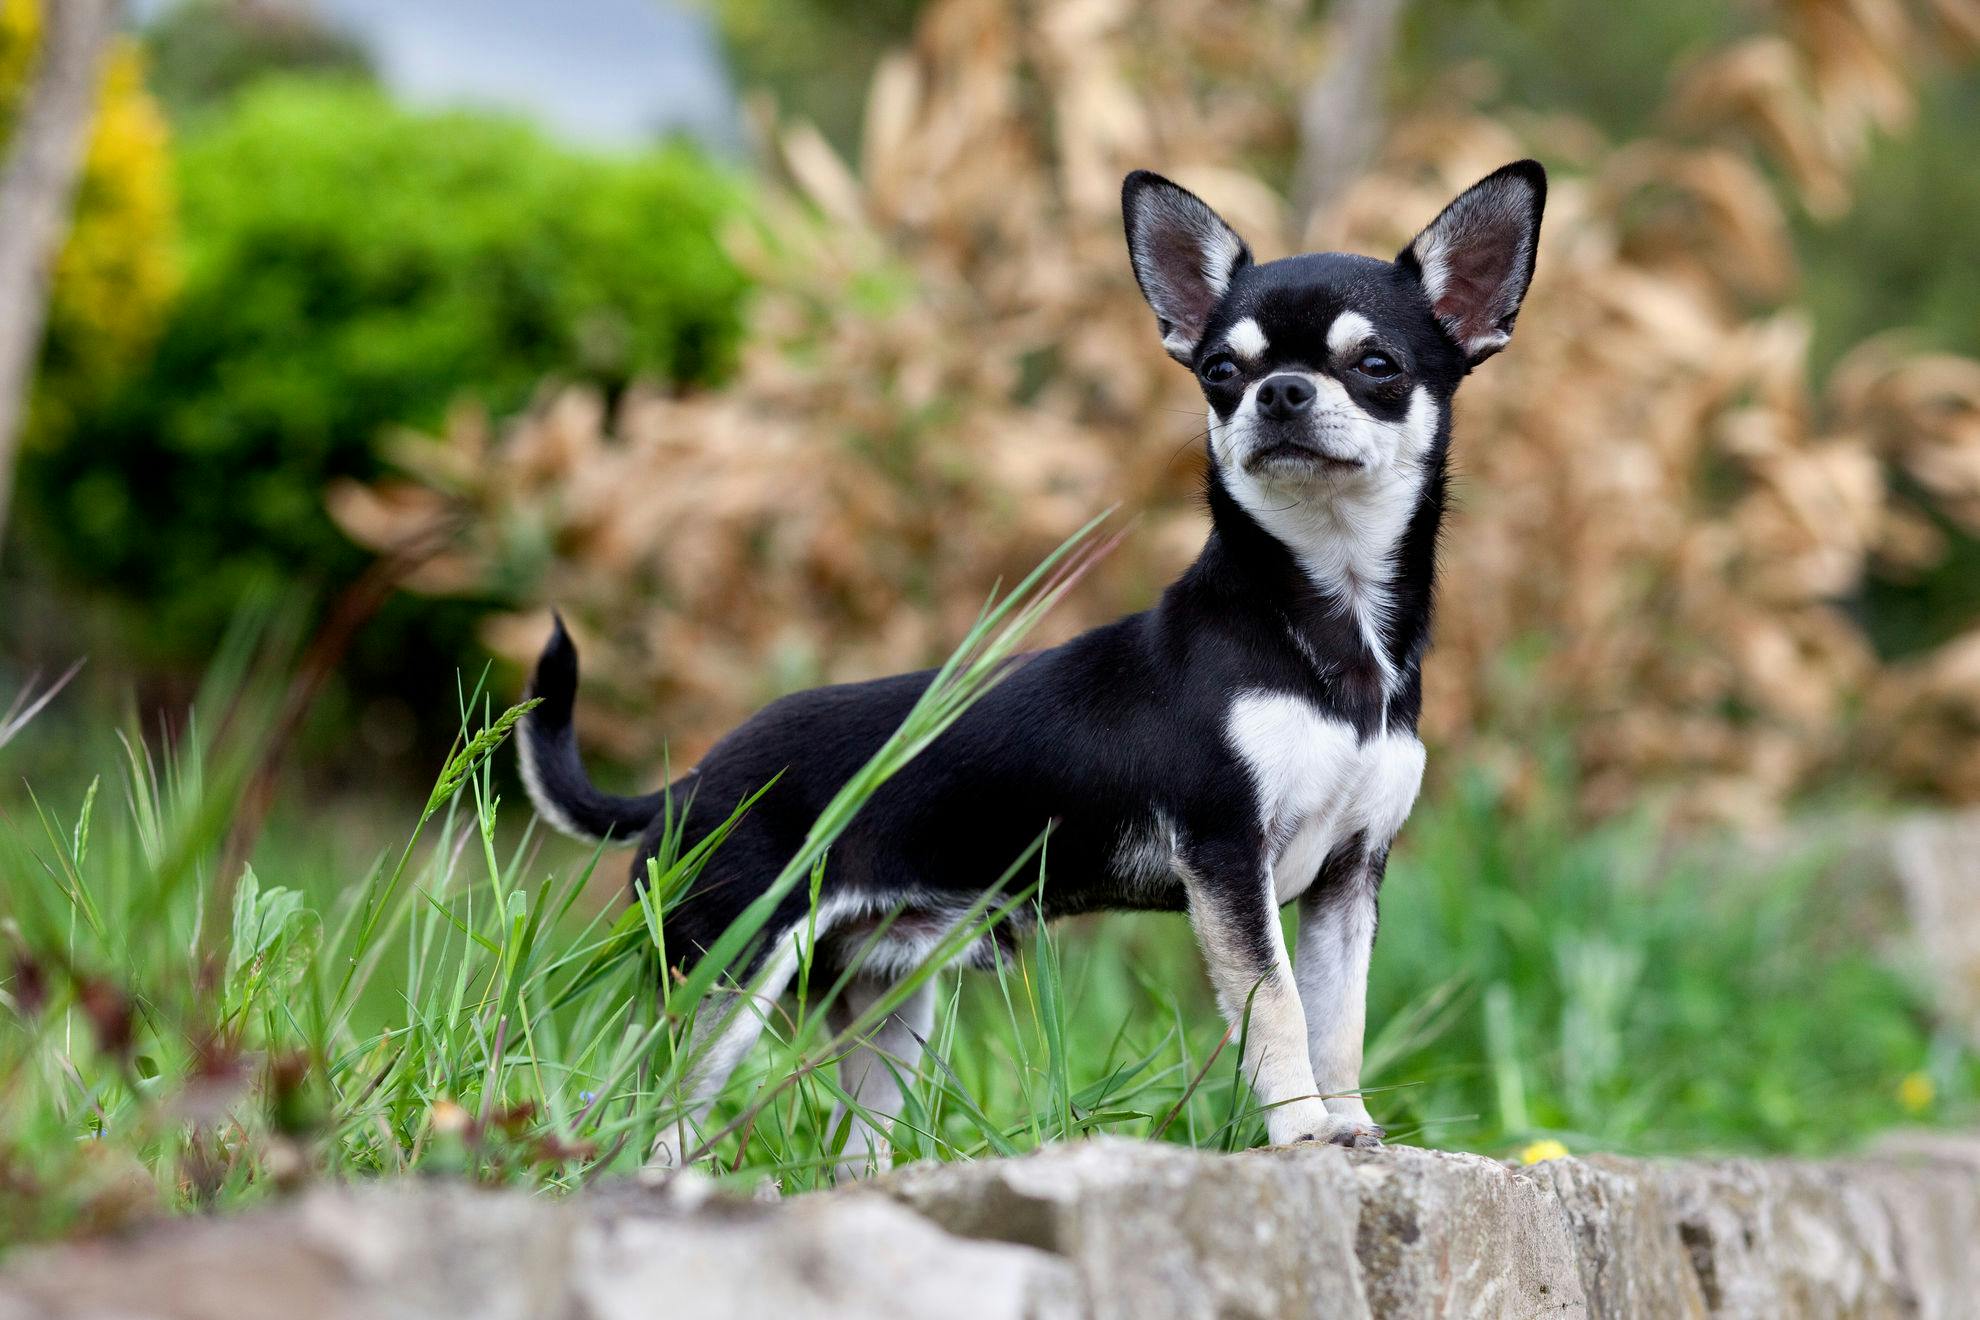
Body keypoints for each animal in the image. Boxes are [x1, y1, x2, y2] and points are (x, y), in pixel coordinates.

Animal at [522, 157, 1544, 1179]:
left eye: (1377, 365)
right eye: (1221, 373)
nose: (1281, 392)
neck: (1328, 625)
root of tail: (687, 783)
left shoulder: (1348, 876)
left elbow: (1341, 1020)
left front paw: (1348, 1121)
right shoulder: (1226, 862)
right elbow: (1279, 1009)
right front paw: (1298, 1129)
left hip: (887, 1002)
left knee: (854, 1147)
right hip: (725, 979)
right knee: (648, 1120)